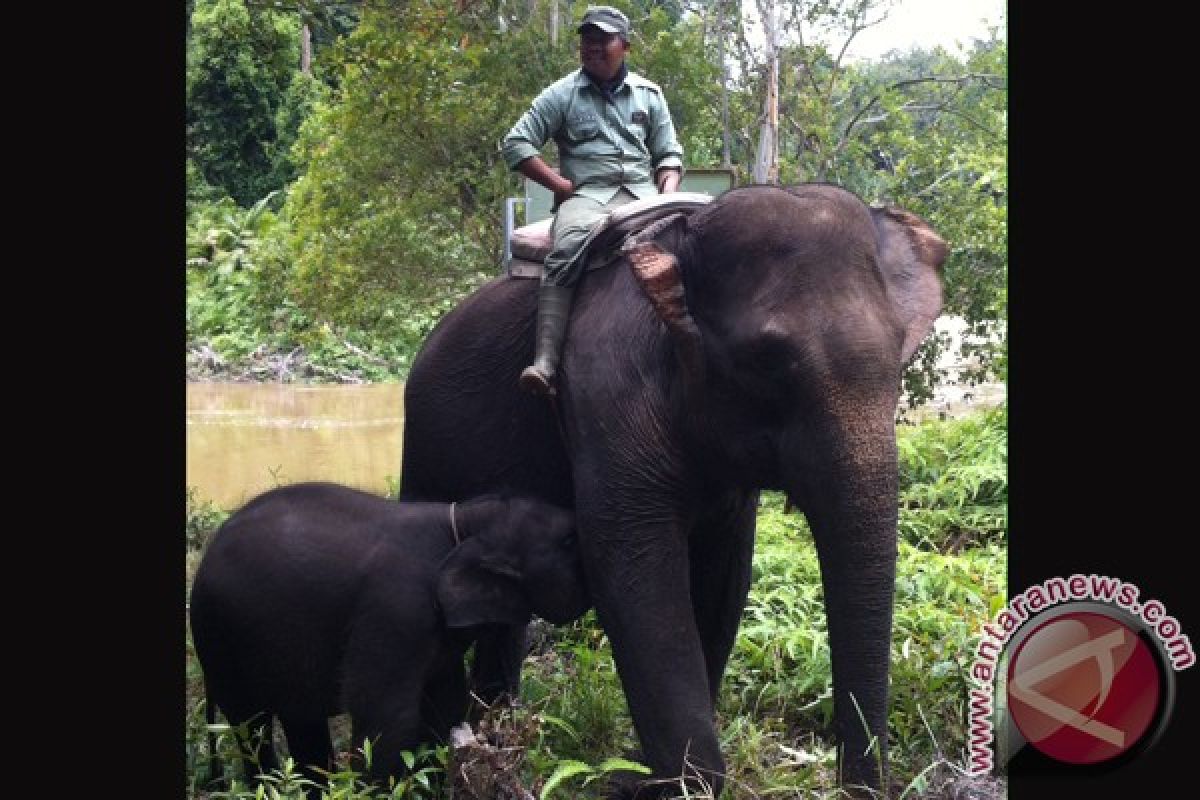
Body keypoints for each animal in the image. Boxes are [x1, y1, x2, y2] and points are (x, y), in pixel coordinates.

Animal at [187, 484, 590, 791]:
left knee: (301, 722)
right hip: (218, 637)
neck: (465, 521)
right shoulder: (396, 609)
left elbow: (446, 707)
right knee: (250, 726)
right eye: (570, 541)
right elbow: (386, 718)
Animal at [400, 184, 945, 796]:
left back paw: (497, 719)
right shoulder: (607, 387)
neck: (682, 242)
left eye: (902, 351)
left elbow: (724, 570)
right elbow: (631, 566)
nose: (853, 785)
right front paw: (663, 782)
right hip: (426, 437)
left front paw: (652, 773)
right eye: (768, 360)